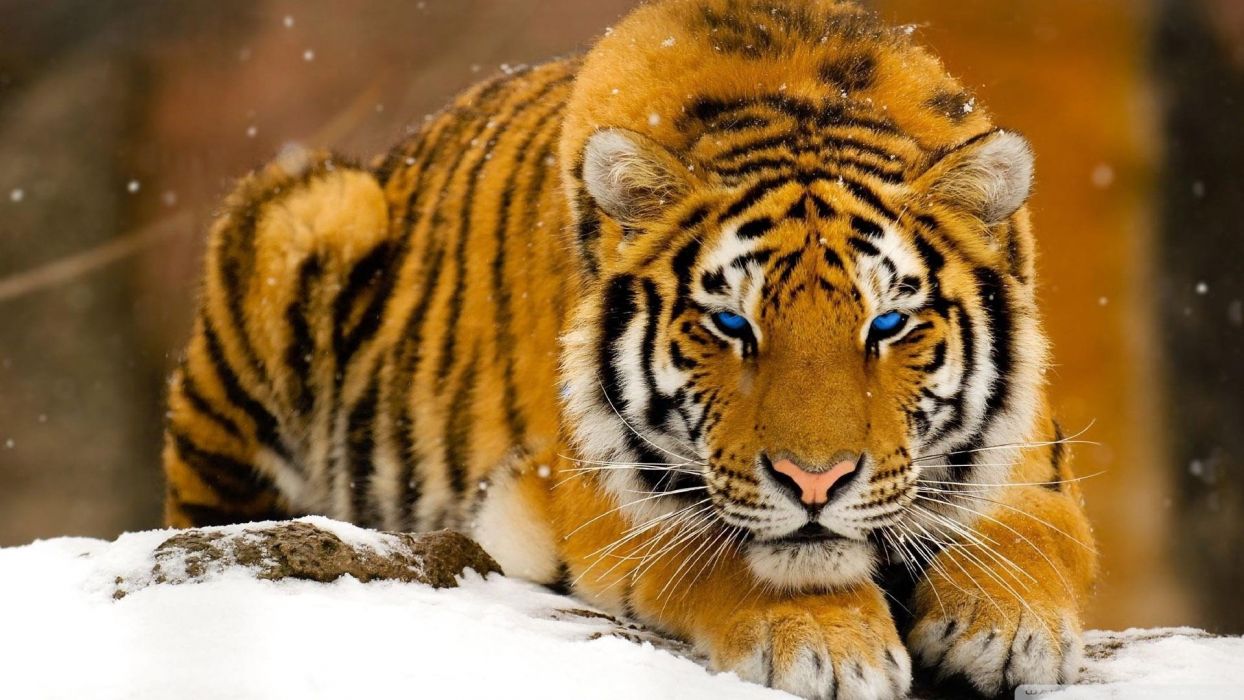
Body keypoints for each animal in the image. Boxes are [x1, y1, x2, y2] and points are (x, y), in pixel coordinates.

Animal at [161, 0, 1098, 697]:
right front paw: (828, 644)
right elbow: (726, 552)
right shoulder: (596, 492)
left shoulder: (1032, 461)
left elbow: (1034, 535)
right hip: (309, 217)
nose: (815, 482)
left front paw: (1007, 629)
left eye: (887, 325)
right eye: (731, 325)